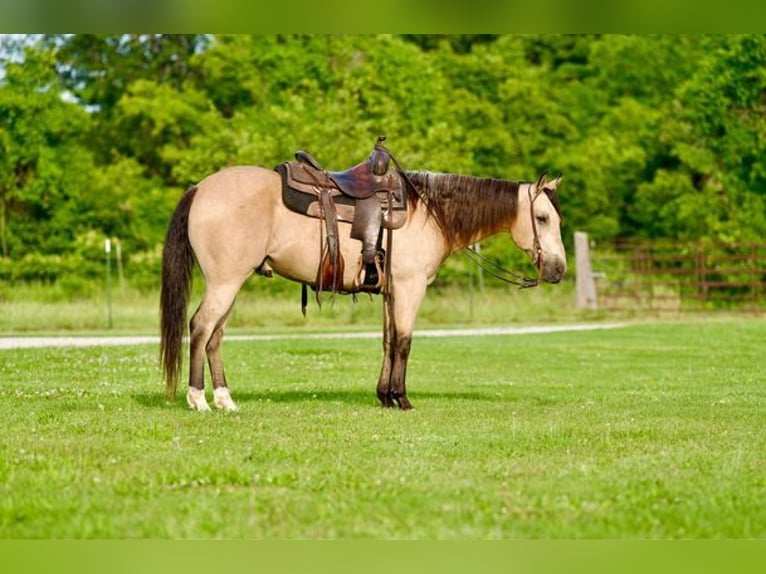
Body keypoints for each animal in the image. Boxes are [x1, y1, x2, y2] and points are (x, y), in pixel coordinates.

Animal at [160, 156, 566, 412]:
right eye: (542, 218)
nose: (558, 270)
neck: (428, 212)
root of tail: (200, 188)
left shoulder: (391, 292)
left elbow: (388, 342)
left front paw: (384, 396)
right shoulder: (410, 287)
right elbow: (404, 342)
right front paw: (402, 399)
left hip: (231, 284)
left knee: (214, 336)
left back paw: (224, 400)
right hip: (224, 282)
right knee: (200, 328)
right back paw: (198, 399)